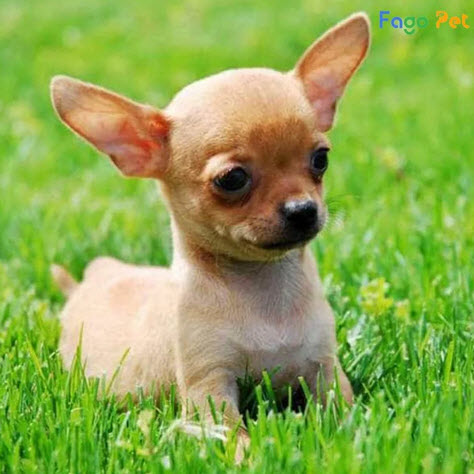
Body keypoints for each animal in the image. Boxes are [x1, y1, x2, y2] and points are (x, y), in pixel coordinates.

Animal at [50, 12, 370, 458]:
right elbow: (233, 437)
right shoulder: (209, 388)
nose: (303, 210)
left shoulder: (324, 369)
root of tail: (87, 280)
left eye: (320, 160)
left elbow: (344, 414)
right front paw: (254, 457)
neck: (264, 295)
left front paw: (351, 443)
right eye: (232, 179)